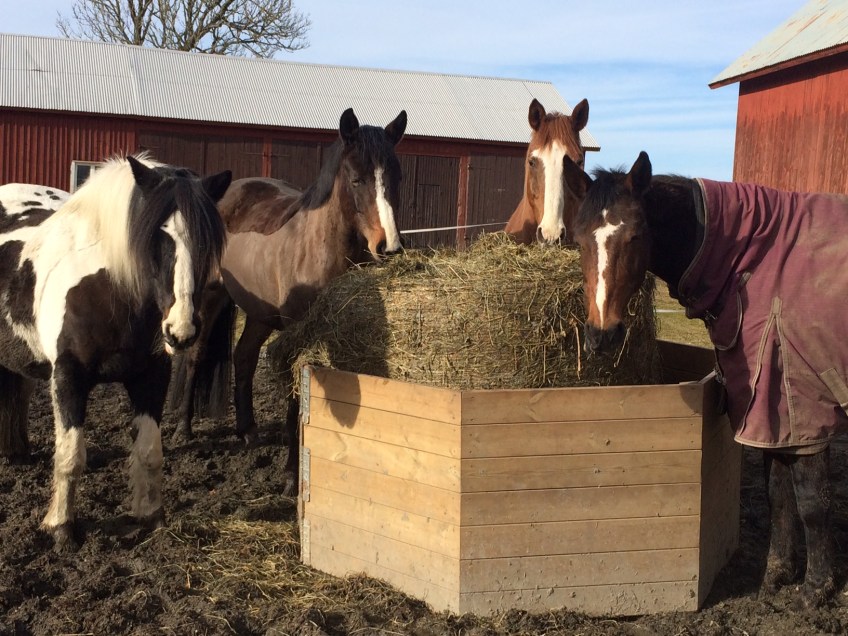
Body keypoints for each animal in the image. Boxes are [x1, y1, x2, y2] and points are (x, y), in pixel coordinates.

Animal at [0, 154, 231, 550]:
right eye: (156, 235)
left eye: (206, 242)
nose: (181, 329)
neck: (109, 290)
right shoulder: (68, 378)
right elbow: (71, 456)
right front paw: (62, 528)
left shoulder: (151, 378)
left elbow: (150, 452)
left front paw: (152, 518)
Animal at [168, 107, 407, 494]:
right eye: (356, 179)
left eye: (396, 178)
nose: (389, 246)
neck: (321, 249)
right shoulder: (298, 337)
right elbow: (297, 402)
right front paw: (292, 477)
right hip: (210, 296)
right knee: (195, 356)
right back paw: (184, 430)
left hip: (259, 314)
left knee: (244, 356)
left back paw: (248, 431)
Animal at [563, 150, 848, 608]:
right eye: (578, 239)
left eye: (636, 236)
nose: (602, 335)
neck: (751, 262)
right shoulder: (767, 409)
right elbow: (778, 493)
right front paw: (778, 572)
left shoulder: (804, 407)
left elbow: (811, 501)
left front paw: (816, 587)